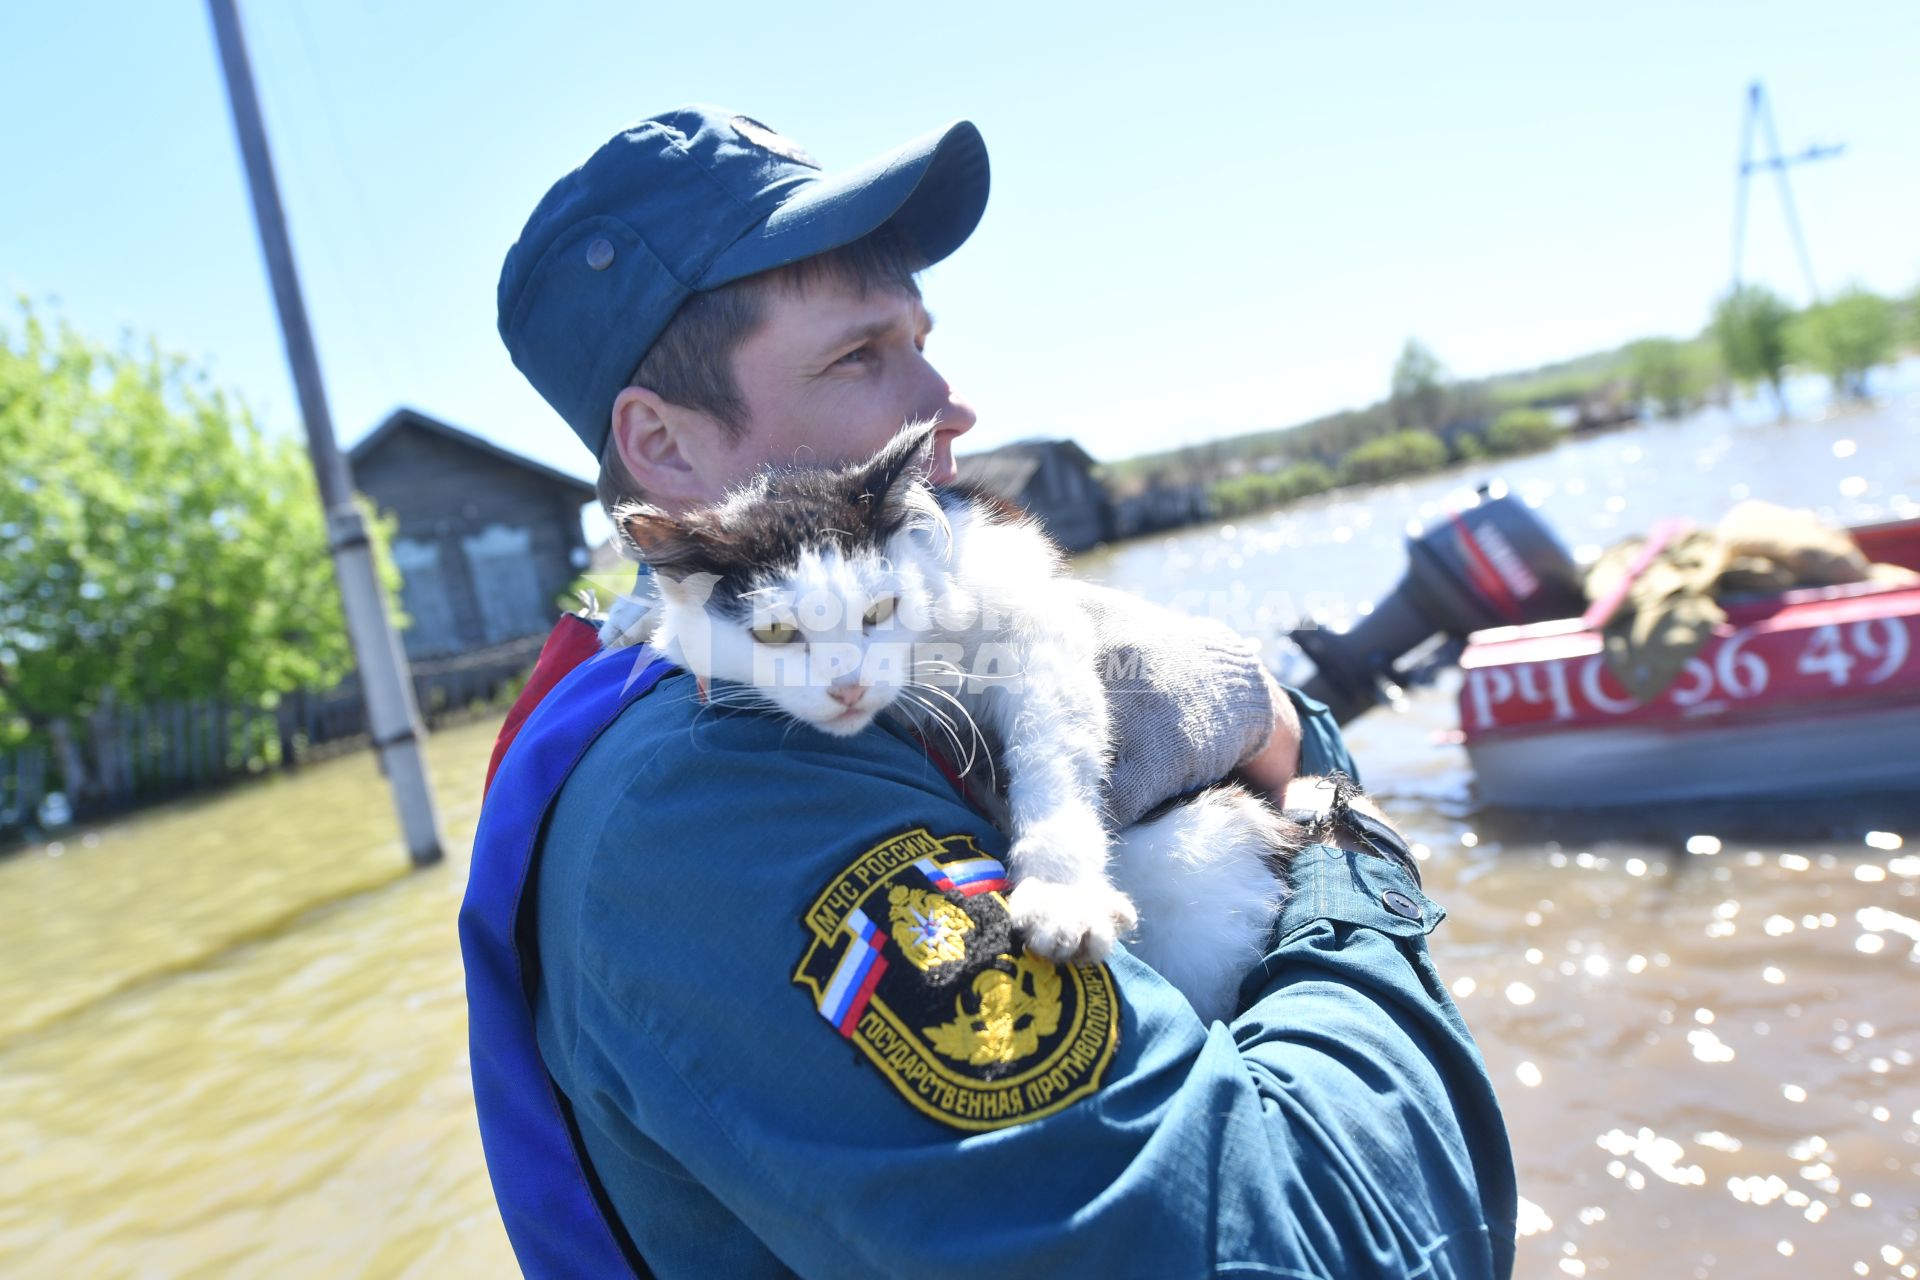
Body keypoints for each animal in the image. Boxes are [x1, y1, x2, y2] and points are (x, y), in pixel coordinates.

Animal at [602, 426, 1290, 1028]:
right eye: (774, 632)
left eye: (880, 610)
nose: (848, 686)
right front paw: (635, 619)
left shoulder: (1030, 619)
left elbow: (1051, 747)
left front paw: (1062, 892)